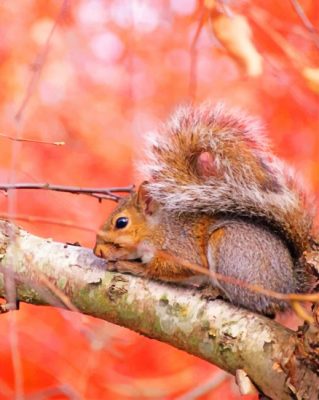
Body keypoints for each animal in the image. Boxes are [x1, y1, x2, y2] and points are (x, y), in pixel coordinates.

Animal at [94, 103, 316, 316]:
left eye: (121, 223)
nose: (98, 251)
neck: (158, 228)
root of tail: (288, 289)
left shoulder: (181, 249)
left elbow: (162, 268)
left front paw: (129, 266)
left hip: (230, 251)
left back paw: (217, 291)